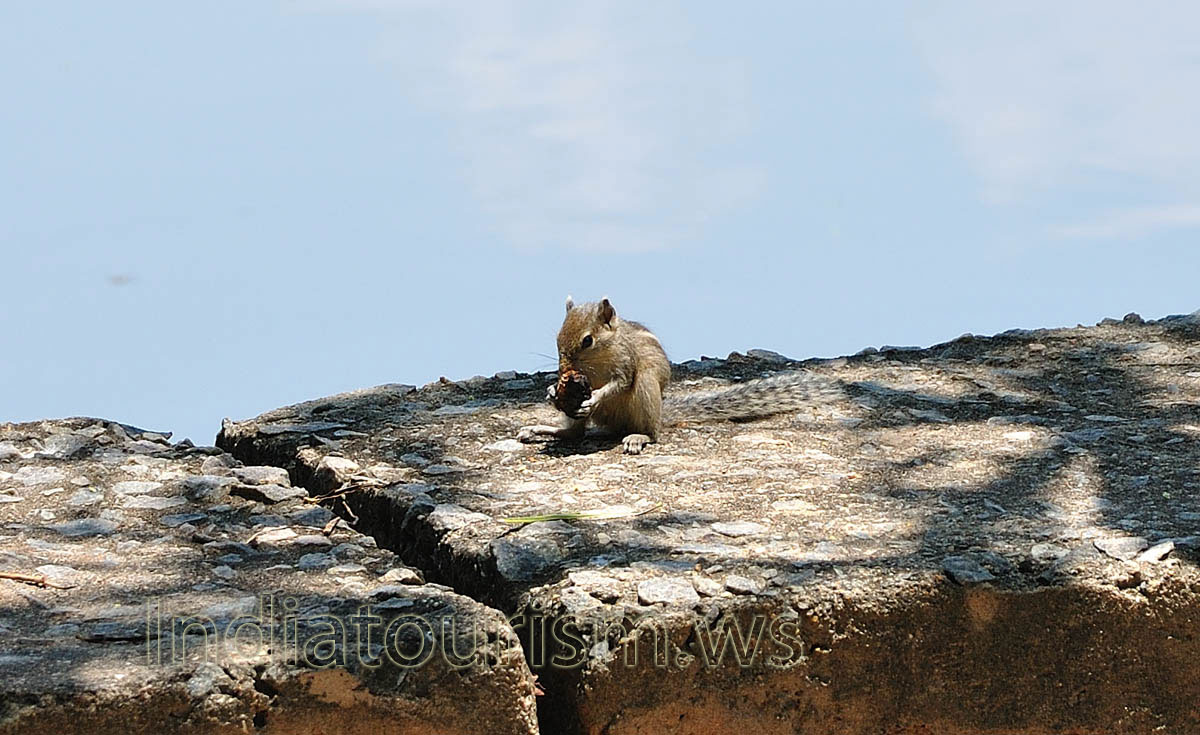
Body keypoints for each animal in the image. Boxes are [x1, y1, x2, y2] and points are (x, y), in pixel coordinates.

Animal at [517, 296, 842, 454]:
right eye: (557, 338)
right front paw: (551, 390)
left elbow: (618, 383)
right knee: (575, 433)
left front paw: (595, 396)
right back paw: (542, 429)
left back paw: (638, 437)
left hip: (647, 391)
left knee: (652, 433)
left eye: (587, 340)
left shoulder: (627, 364)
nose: (563, 369)